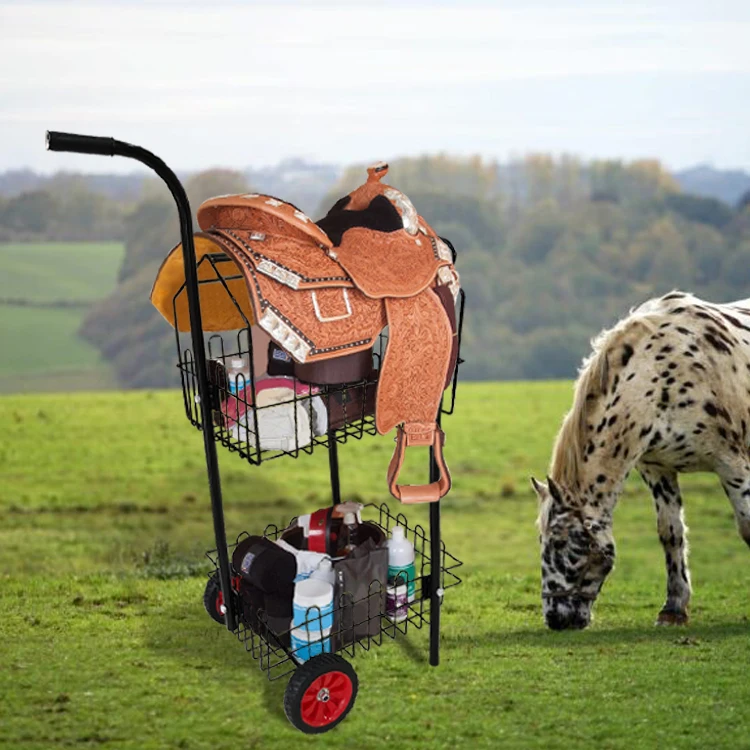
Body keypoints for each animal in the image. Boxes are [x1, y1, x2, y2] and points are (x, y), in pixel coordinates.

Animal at [532, 291, 750, 630]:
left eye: (560, 542)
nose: (555, 618)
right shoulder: (657, 469)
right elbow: (670, 533)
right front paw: (673, 608)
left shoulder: (732, 464)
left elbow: (748, 527)